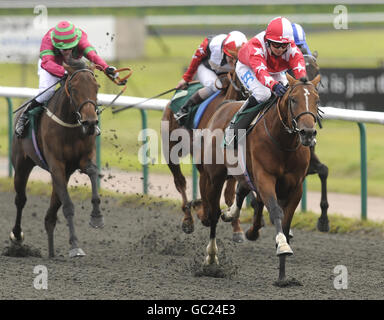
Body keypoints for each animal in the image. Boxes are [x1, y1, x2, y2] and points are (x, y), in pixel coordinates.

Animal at [10, 57, 103, 258]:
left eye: (97, 86)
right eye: (74, 88)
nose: (90, 122)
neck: (70, 124)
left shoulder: (82, 159)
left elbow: (92, 171)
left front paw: (97, 217)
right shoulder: (56, 165)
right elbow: (68, 205)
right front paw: (74, 245)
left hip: (64, 174)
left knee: (51, 213)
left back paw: (52, 251)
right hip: (22, 165)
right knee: (20, 199)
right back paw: (17, 236)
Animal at [161, 73, 246, 242]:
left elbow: (229, 196)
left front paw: (237, 228)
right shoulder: (206, 167)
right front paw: (201, 210)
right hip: (170, 152)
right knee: (180, 182)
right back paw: (188, 219)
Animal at [198, 72, 320, 282]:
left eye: (316, 100)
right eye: (293, 100)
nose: (308, 133)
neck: (283, 142)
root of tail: (224, 106)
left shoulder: (295, 187)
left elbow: (286, 223)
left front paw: (282, 277)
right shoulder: (265, 178)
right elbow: (275, 211)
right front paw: (282, 246)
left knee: (242, 189)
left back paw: (231, 214)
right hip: (215, 176)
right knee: (213, 213)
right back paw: (211, 258)